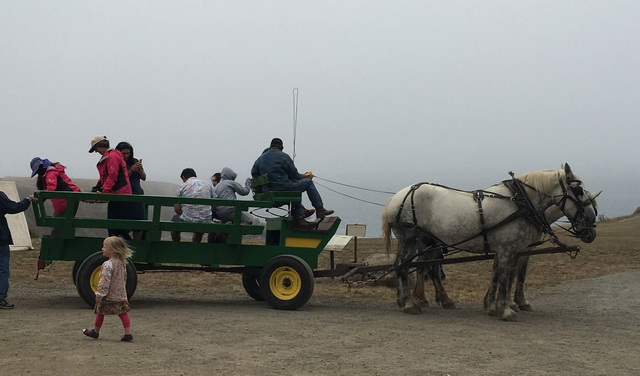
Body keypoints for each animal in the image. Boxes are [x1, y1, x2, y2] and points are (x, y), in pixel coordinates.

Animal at [382, 164, 596, 320]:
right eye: (578, 190)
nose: (591, 224)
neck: (519, 202)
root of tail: (396, 198)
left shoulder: (506, 249)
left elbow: (498, 275)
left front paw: (493, 306)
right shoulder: (509, 248)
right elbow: (504, 277)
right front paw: (505, 309)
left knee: (411, 266)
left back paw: (411, 301)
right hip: (410, 238)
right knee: (403, 266)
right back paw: (410, 304)